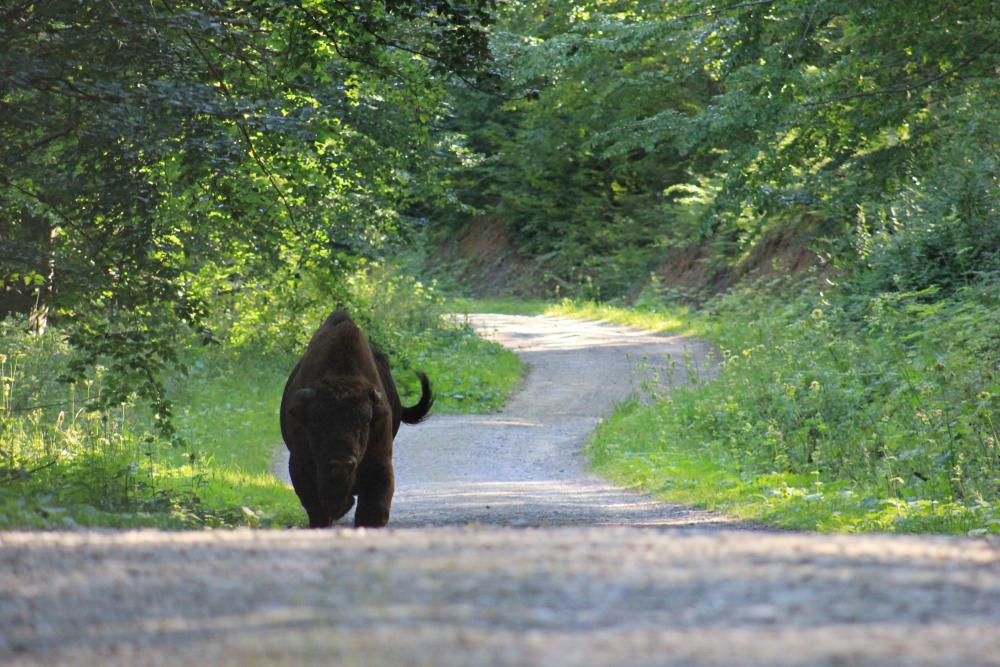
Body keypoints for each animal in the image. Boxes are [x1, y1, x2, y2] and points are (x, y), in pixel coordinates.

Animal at [284, 310, 436, 528]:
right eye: (316, 420)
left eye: (366, 420)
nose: (341, 463)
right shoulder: (300, 464)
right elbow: (317, 508)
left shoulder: (380, 465)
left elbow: (373, 508)